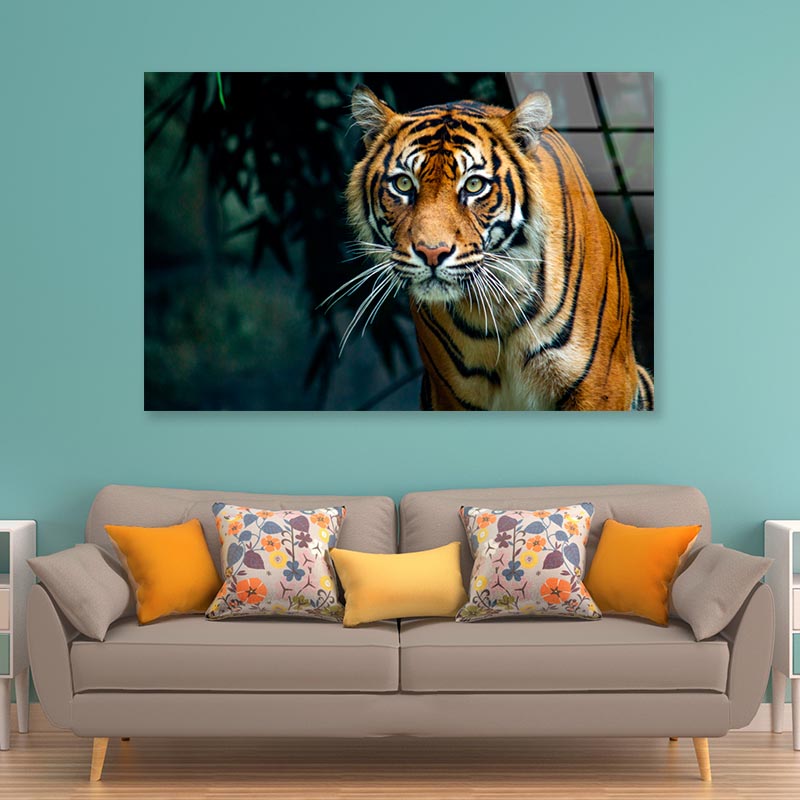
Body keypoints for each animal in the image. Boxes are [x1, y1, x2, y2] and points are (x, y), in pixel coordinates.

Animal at [338, 85, 654, 411]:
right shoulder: (452, 396)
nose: (432, 253)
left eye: (474, 185)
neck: (497, 309)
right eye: (402, 184)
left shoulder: (599, 386)